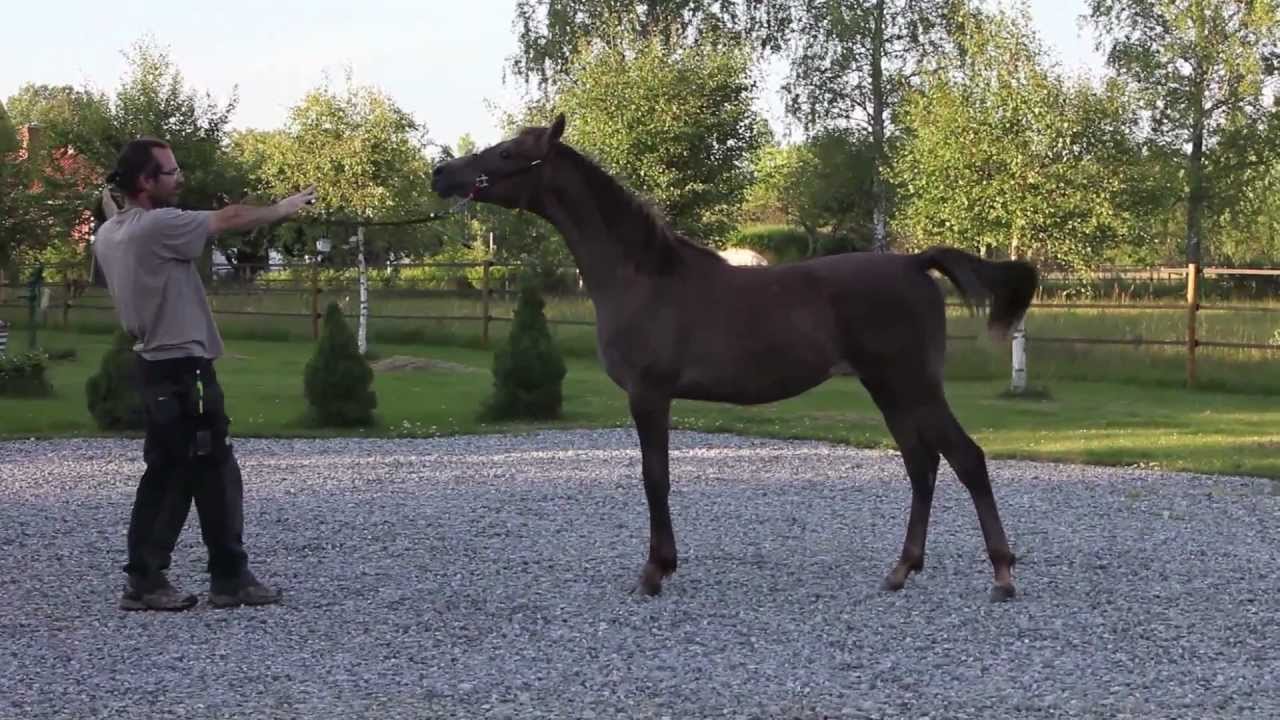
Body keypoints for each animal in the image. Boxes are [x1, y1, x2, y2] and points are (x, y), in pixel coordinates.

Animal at [431, 114, 1039, 602]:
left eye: (507, 153)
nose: (441, 174)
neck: (643, 276)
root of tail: (915, 262)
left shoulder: (649, 395)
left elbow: (655, 478)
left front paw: (654, 572)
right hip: (888, 388)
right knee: (923, 464)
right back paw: (901, 570)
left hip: (912, 384)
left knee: (966, 459)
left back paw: (1002, 576)